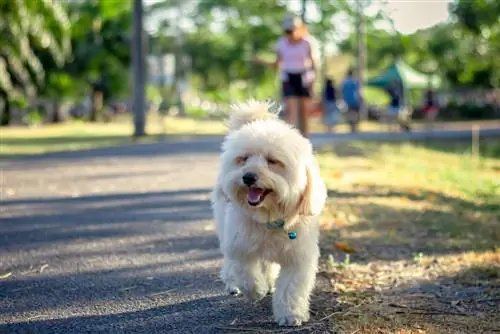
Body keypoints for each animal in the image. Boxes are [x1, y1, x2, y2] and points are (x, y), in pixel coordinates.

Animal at [211, 101, 328, 326]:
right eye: (243, 159)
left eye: (273, 161)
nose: (248, 177)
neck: (269, 218)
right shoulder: (240, 244)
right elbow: (245, 270)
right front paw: (256, 290)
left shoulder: (298, 257)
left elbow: (291, 287)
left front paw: (290, 314)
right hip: (224, 225)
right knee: (230, 261)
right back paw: (234, 283)